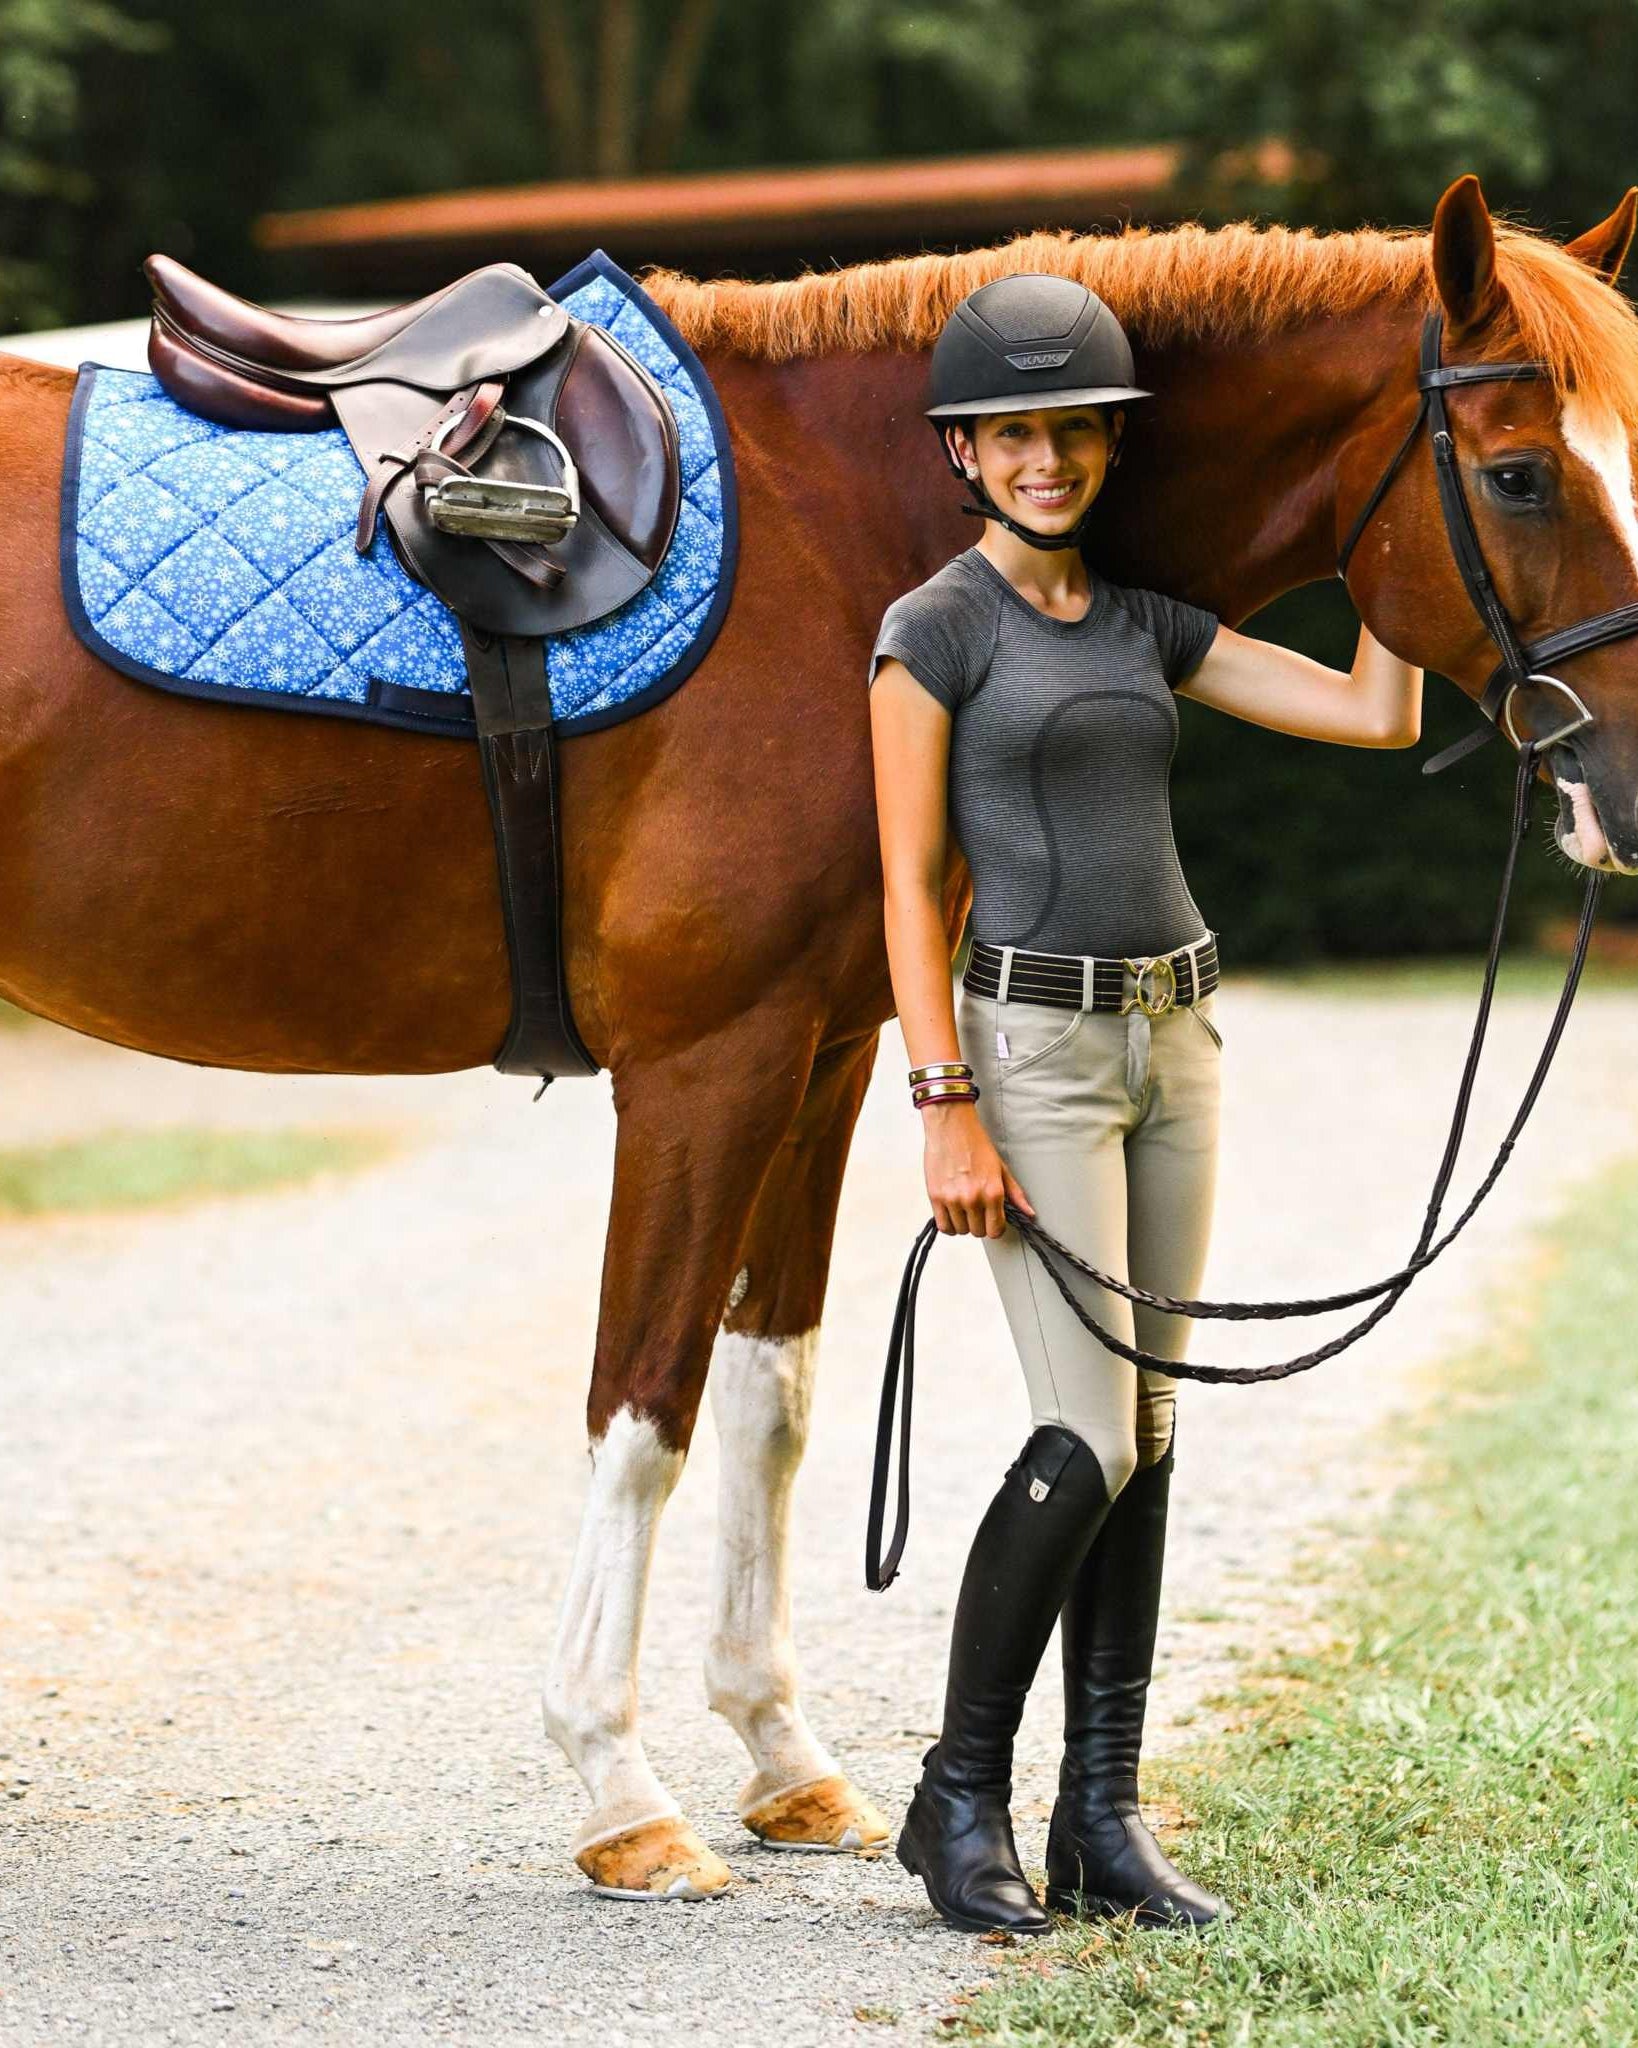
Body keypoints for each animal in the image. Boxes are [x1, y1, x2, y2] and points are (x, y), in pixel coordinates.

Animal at [3, 171, 1636, 1900]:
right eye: (1520, 473)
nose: (1623, 795)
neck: (840, 525)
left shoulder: (825, 1058)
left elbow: (765, 1400)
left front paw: (781, 1761)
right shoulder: (705, 1066)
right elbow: (641, 1406)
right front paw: (618, 1789)